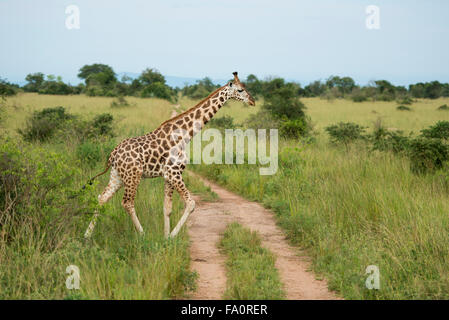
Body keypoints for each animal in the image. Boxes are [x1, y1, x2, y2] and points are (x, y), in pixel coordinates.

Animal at [82, 72, 254, 238]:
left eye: (245, 87)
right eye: (240, 90)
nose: (252, 101)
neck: (185, 135)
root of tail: (114, 153)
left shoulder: (167, 175)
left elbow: (167, 207)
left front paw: (165, 237)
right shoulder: (174, 172)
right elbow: (191, 204)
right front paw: (171, 236)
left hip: (117, 175)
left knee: (102, 198)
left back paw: (87, 235)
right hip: (133, 175)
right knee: (127, 203)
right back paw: (142, 234)